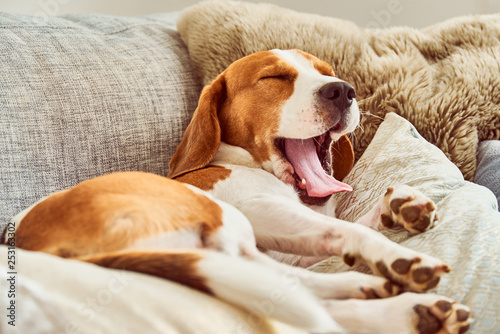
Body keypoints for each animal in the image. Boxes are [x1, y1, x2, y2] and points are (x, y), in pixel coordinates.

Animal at [4, 49, 472, 334]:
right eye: (276, 77)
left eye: (326, 73)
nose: (342, 90)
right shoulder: (258, 209)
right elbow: (347, 230)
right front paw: (395, 254)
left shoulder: (287, 244)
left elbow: (344, 230)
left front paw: (399, 205)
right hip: (224, 222)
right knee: (306, 300)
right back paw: (397, 295)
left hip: (239, 253)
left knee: (302, 292)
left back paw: (392, 302)